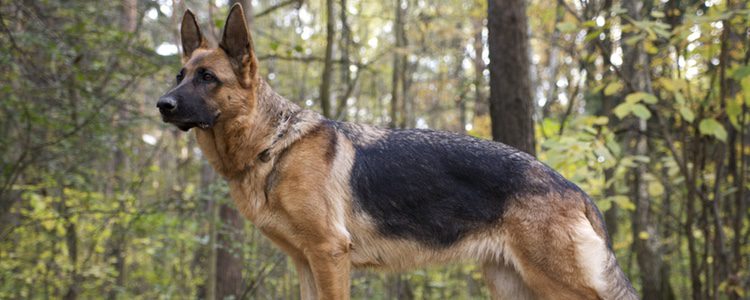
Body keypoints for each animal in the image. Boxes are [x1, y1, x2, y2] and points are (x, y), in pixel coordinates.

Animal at [159, 4, 640, 298]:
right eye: (181, 74)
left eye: (207, 78)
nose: (162, 105)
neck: (273, 145)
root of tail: (574, 188)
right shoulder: (306, 264)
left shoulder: (329, 256)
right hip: (512, 284)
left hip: (556, 284)